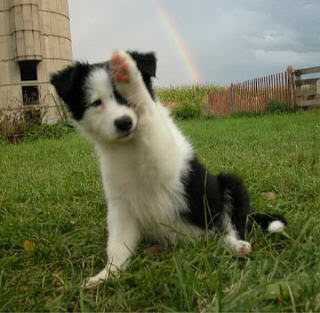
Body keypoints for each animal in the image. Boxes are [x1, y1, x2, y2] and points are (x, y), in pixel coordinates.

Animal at [50, 50, 288, 286]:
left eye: (125, 98)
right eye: (96, 102)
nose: (124, 123)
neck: (130, 148)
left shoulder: (163, 159)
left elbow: (148, 114)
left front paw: (130, 74)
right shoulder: (121, 204)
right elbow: (117, 245)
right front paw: (107, 274)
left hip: (229, 186)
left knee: (230, 227)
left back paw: (236, 246)